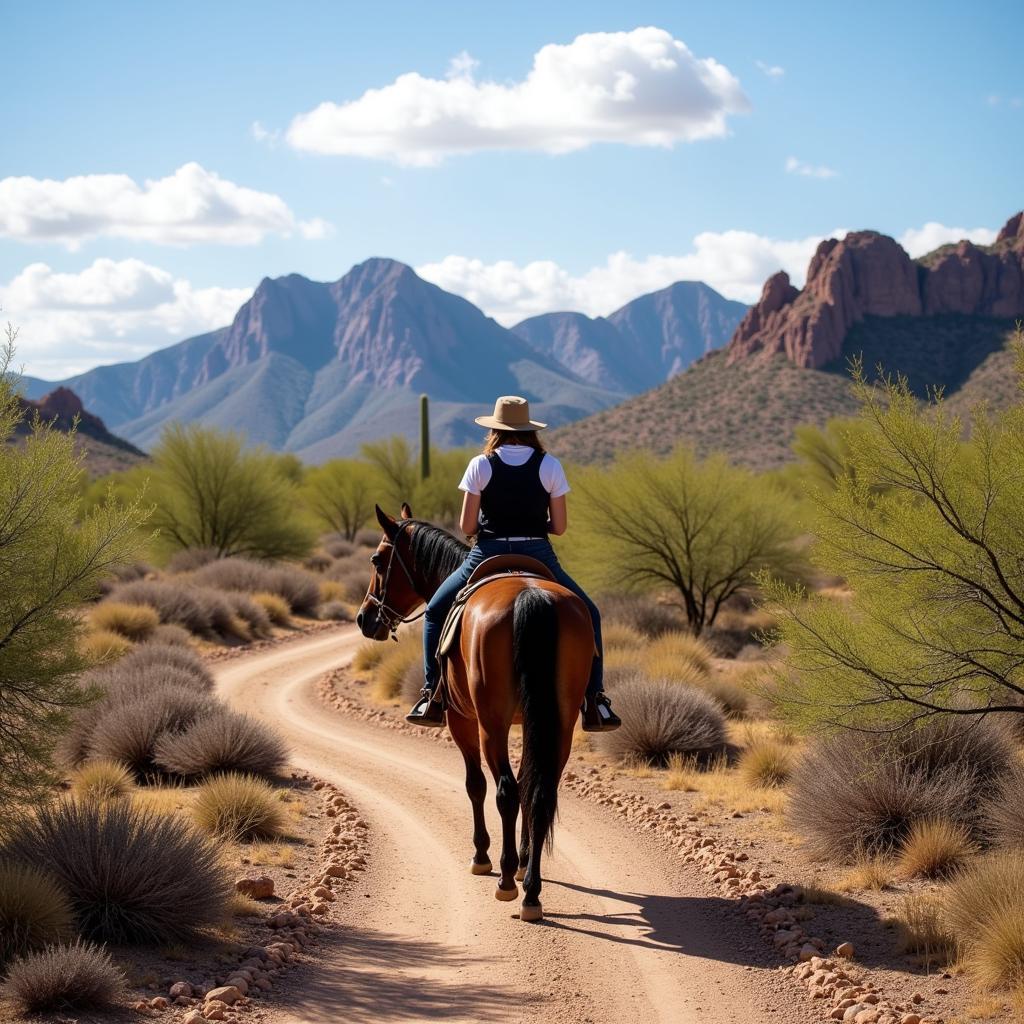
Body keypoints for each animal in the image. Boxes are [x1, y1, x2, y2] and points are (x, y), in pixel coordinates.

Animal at [356, 501, 593, 921]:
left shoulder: (461, 720)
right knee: (540, 791)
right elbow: (528, 780)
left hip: (489, 723)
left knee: (505, 790)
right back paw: (531, 890)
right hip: (561, 723)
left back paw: (508, 883)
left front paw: (483, 856)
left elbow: (475, 785)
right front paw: (524, 860)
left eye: (378, 559)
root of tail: (530, 597)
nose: (365, 619)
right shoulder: (530, 723)